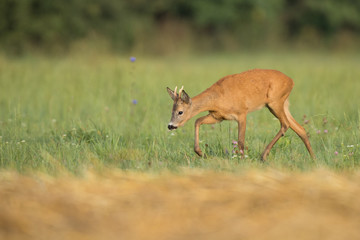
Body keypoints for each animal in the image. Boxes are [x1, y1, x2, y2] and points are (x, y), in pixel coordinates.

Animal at [166, 68, 316, 160]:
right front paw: (200, 152)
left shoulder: (242, 112)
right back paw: (313, 159)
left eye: (180, 112)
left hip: (275, 101)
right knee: (299, 128)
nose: (170, 125)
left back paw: (263, 156)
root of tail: (291, 81)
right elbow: (197, 121)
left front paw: (242, 159)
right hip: (282, 103)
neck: (217, 99)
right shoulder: (217, 116)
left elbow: (241, 141)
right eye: (171, 110)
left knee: (285, 124)